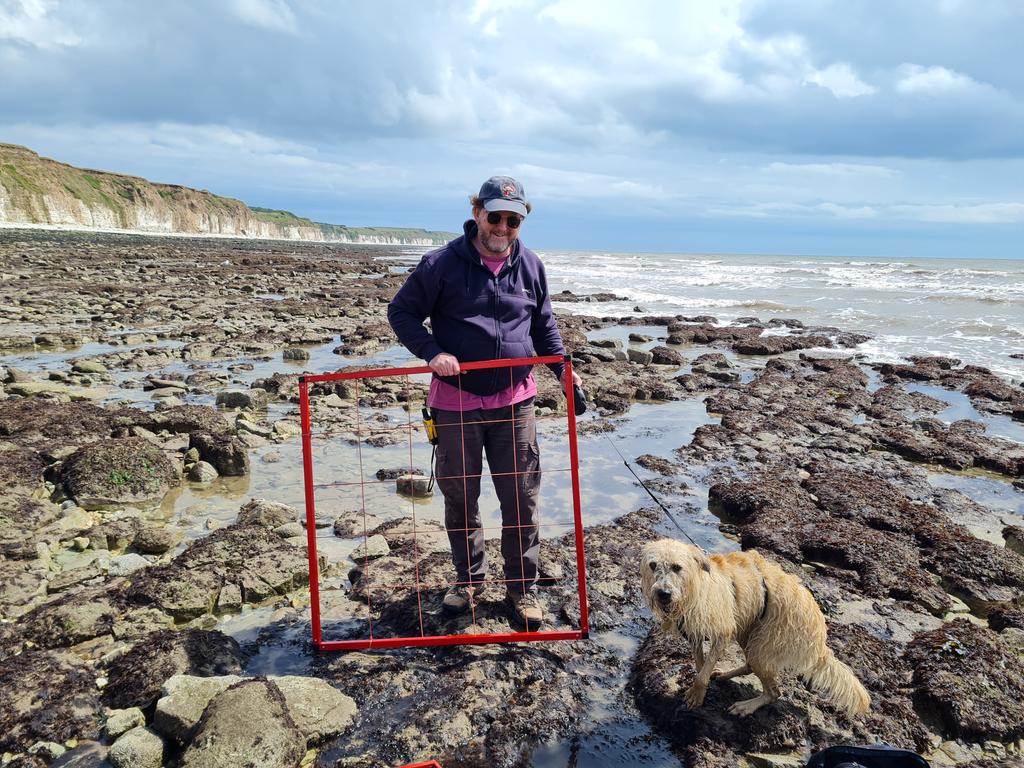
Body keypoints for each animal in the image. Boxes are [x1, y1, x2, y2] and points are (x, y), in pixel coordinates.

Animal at [643, 536, 868, 720]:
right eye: (653, 565)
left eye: (677, 567)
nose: (663, 594)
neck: (696, 588)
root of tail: (820, 639)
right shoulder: (695, 635)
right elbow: (701, 665)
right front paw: (703, 681)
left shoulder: (722, 633)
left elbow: (703, 672)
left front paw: (697, 694)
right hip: (750, 633)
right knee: (752, 667)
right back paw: (724, 675)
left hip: (766, 642)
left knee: (773, 692)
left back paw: (746, 706)